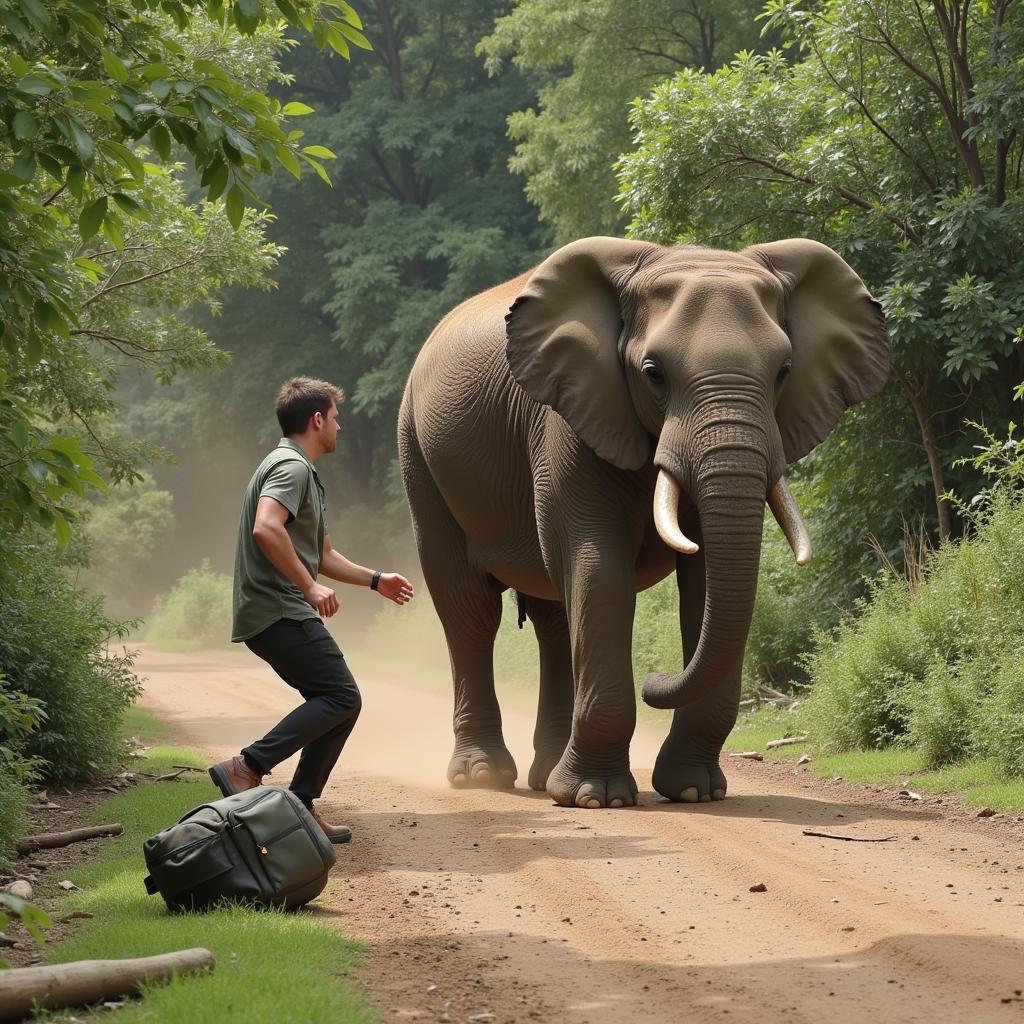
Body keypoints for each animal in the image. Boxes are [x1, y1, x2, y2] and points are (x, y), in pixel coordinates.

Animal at [395, 237, 892, 806]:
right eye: (654, 374)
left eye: (784, 371)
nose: (655, 679)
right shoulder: (567, 418)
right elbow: (599, 571)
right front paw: (599, 799)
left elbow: (703, 582)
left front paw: (695, 792)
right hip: (417, 452)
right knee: (469, 609)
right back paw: (484, 777)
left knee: (552, 618)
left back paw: (546, 777)